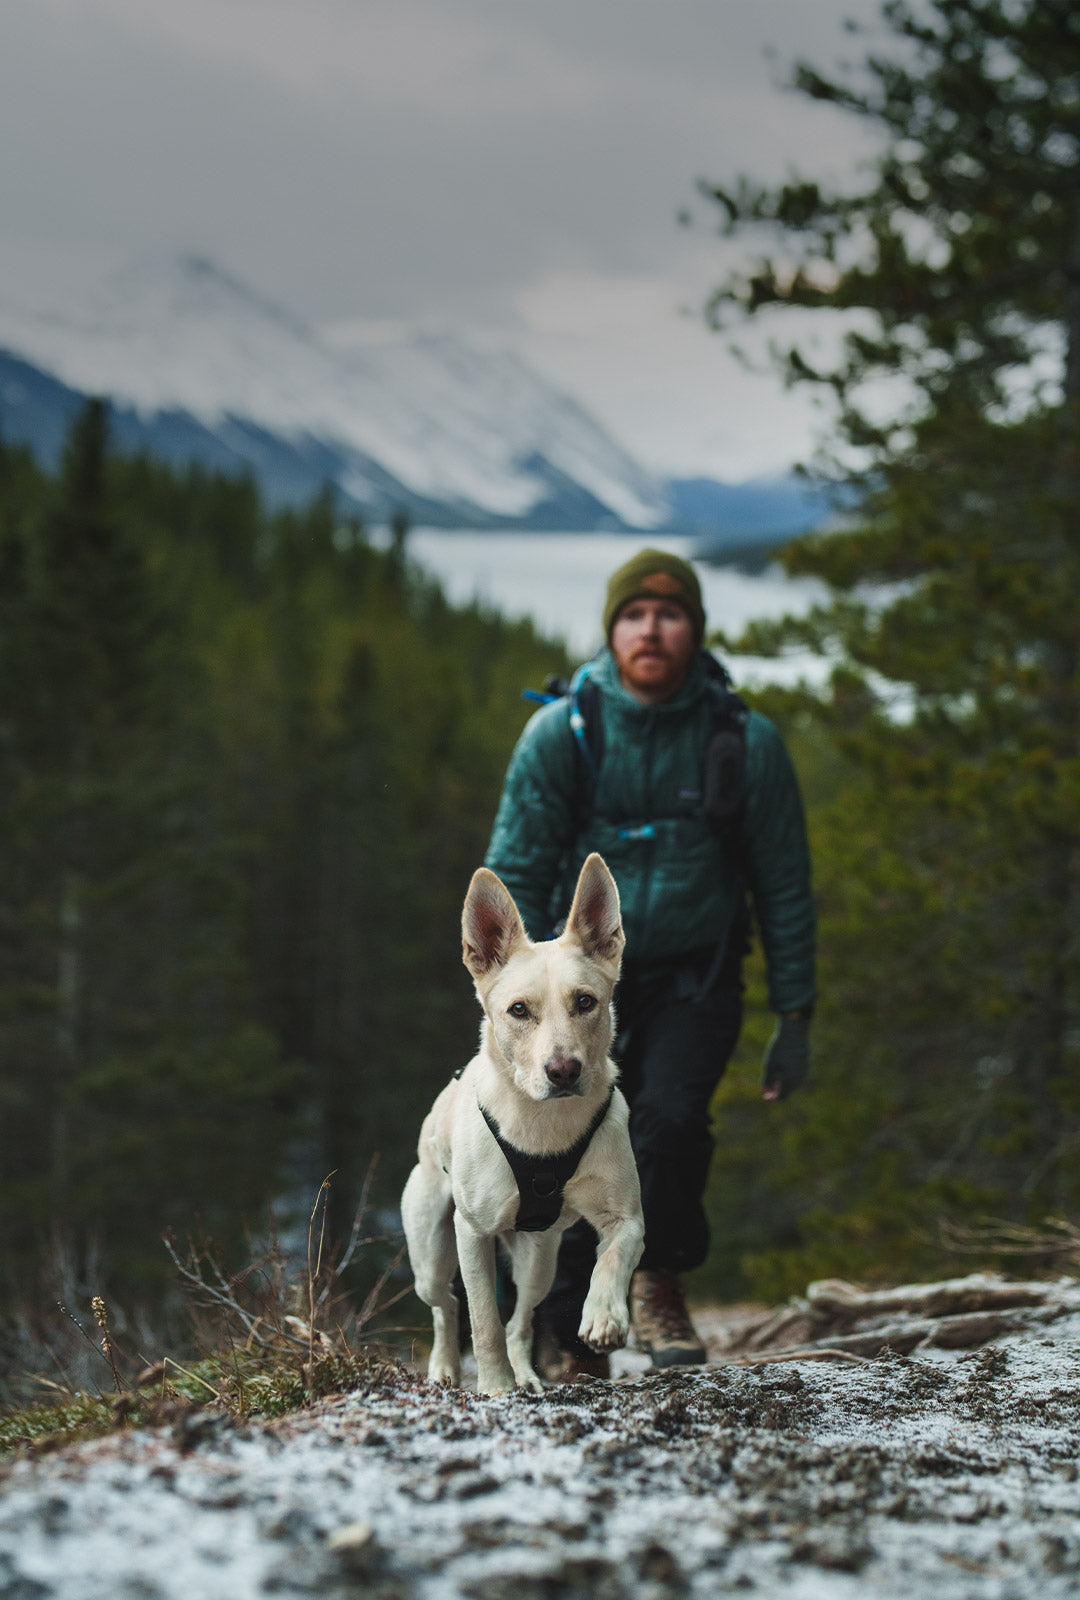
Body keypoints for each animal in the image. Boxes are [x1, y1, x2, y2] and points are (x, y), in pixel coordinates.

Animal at [403, 857, 643, 1395]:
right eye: (518, 1010)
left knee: (522, 1321)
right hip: (429, 1250)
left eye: (585, 1002)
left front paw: (603, 1316)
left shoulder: (626, 1216)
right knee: (447, 1305)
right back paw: (445, 1369)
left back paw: (528, 1377)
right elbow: (483, 1320)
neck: (543, 1123)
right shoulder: (471, 1232)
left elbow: (614, 1256)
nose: (564, 1071)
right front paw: (495, 1388)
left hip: (540, 1259)